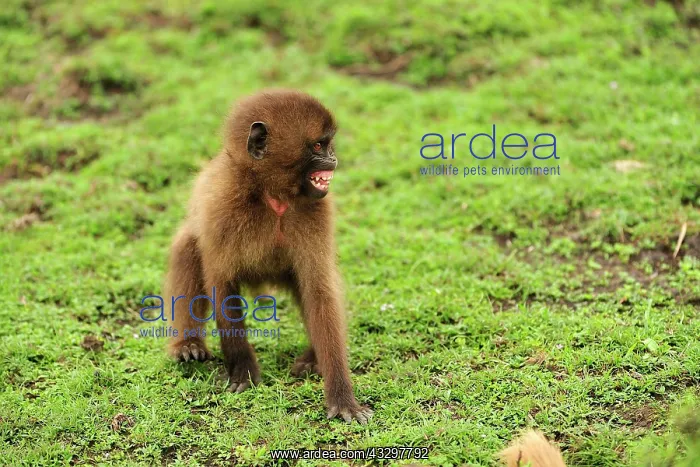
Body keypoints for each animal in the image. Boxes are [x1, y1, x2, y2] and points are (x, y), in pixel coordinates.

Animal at [163, 89, 373, 424]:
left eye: (328, 144)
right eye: (318, 145)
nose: (334, 160)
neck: (270, 192)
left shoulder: (317, 209)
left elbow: (319, 289)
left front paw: (341, 396)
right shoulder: (221, 205)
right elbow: (221, 282)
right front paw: (242, 371)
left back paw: (313, 358)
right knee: (188, 245)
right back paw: (188, 344)